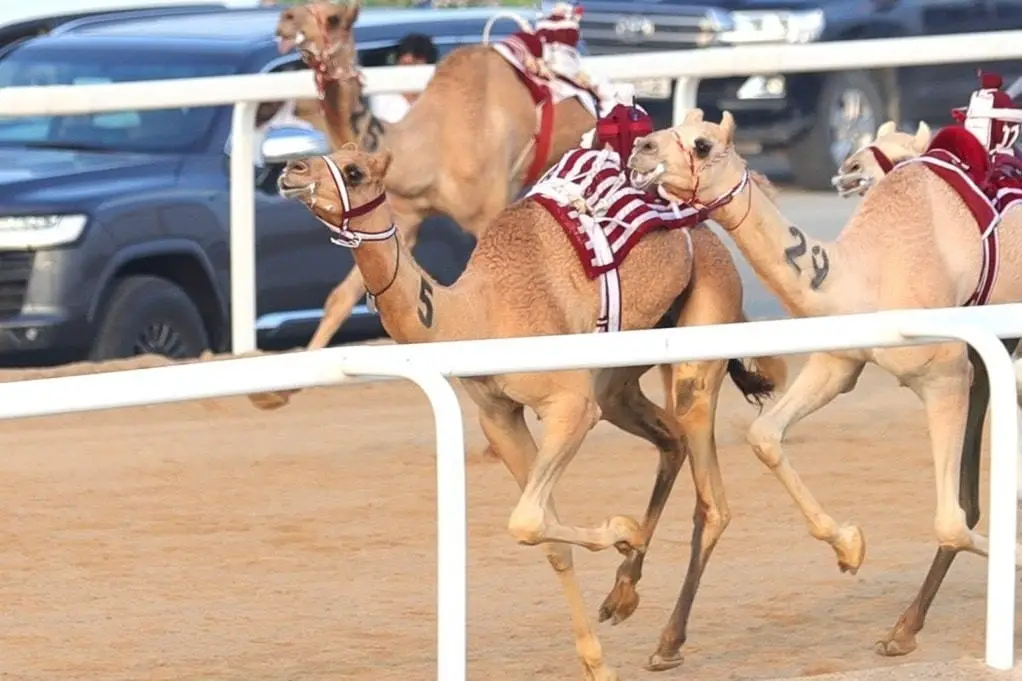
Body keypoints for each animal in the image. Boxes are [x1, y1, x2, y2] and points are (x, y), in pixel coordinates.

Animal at [248, 0, 601, 412]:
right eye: (298, 8)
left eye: (334, 18)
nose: (285, 20)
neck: (429, 149)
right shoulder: (403, 215)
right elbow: (341, 296)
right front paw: (275, 392)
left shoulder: (489, 210)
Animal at [274, 139, 789, 677]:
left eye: (354, 171)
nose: (291, 168)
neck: (477, 315)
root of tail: (710, 239)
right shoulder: (499, 416)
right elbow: (546, 535)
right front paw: (598, 658)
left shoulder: (568, 405)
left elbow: (525, 520)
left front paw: (622, 529)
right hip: (620, 375)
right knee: (669, 439)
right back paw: (623, 593)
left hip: (702, 327)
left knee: (711, 499)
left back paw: (668, 641)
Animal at [627, 108, 1022, 658]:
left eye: (702, 143)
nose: (640, 149)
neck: (864, 274)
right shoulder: (841, 361)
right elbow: (764, 435)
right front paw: (850, 547)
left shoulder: (947, 372)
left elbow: (951, 518)